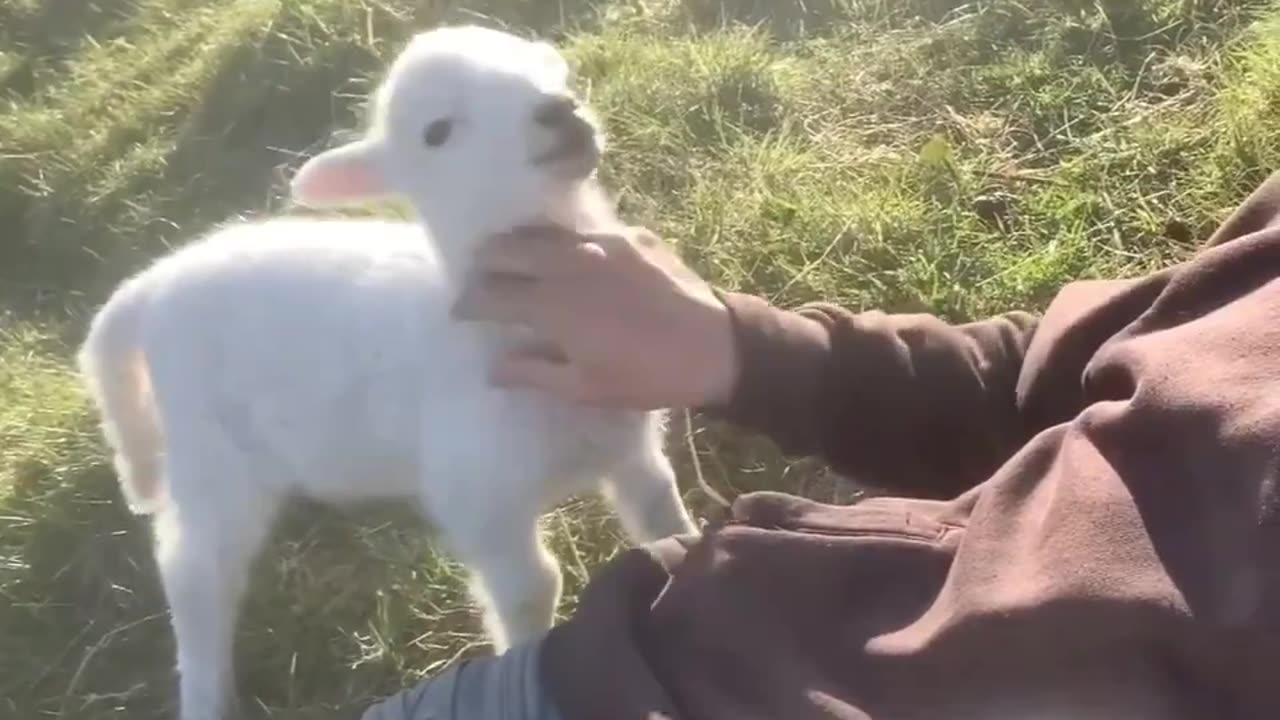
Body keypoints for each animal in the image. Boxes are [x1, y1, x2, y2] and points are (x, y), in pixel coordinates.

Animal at [77, 23, 701, 717]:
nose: (558, 111)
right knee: (192, 575)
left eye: (548, 71)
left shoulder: (631, 447)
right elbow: (531, 590)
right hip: (211, 459)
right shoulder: (480, 499)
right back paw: (208, 692)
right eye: (437, 132)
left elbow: (661, 519)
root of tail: (148, 289)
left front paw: (693, 560)